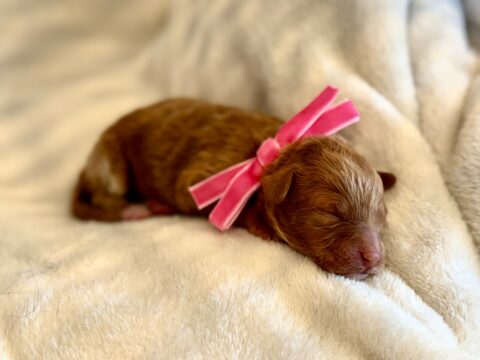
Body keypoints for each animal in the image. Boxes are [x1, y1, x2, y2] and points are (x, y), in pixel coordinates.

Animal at [71, 99, 394, 282]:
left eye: (381, 217)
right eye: (330, 214)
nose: (374, 259)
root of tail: (84, 169)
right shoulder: (197, 179)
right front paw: (261, 224)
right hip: (111, 159)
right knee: (105, 195)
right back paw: (136, 209)